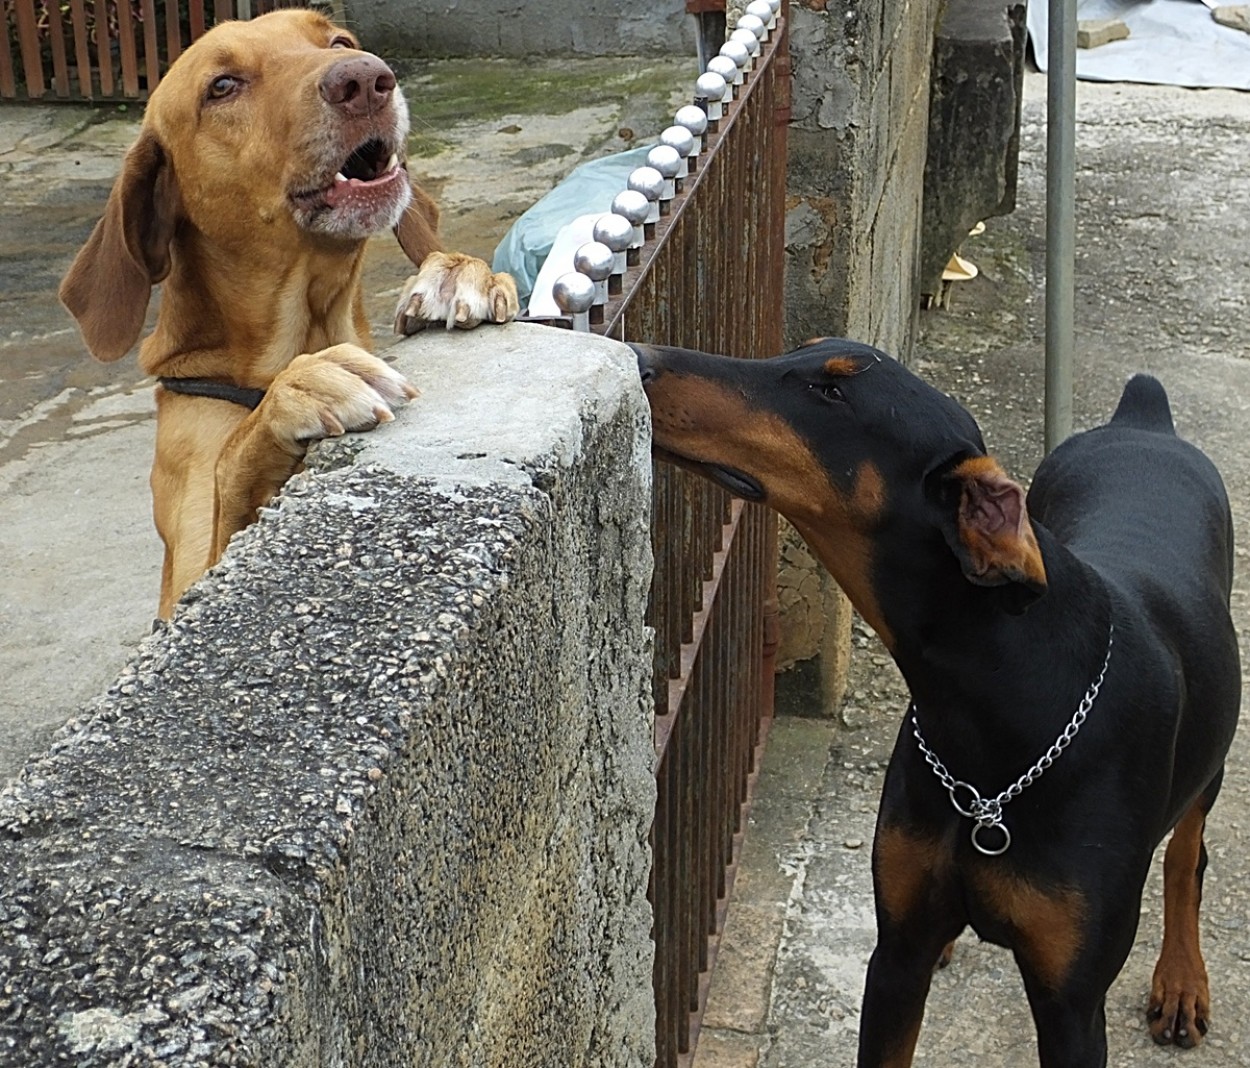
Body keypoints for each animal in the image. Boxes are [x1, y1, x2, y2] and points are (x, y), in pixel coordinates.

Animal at [57, 8, 517, 617]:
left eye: (338, 41)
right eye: (222, 86)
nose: (365, 79)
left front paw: (456, 274)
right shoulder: (181, 586)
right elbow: (229, 472)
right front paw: (302, 387)